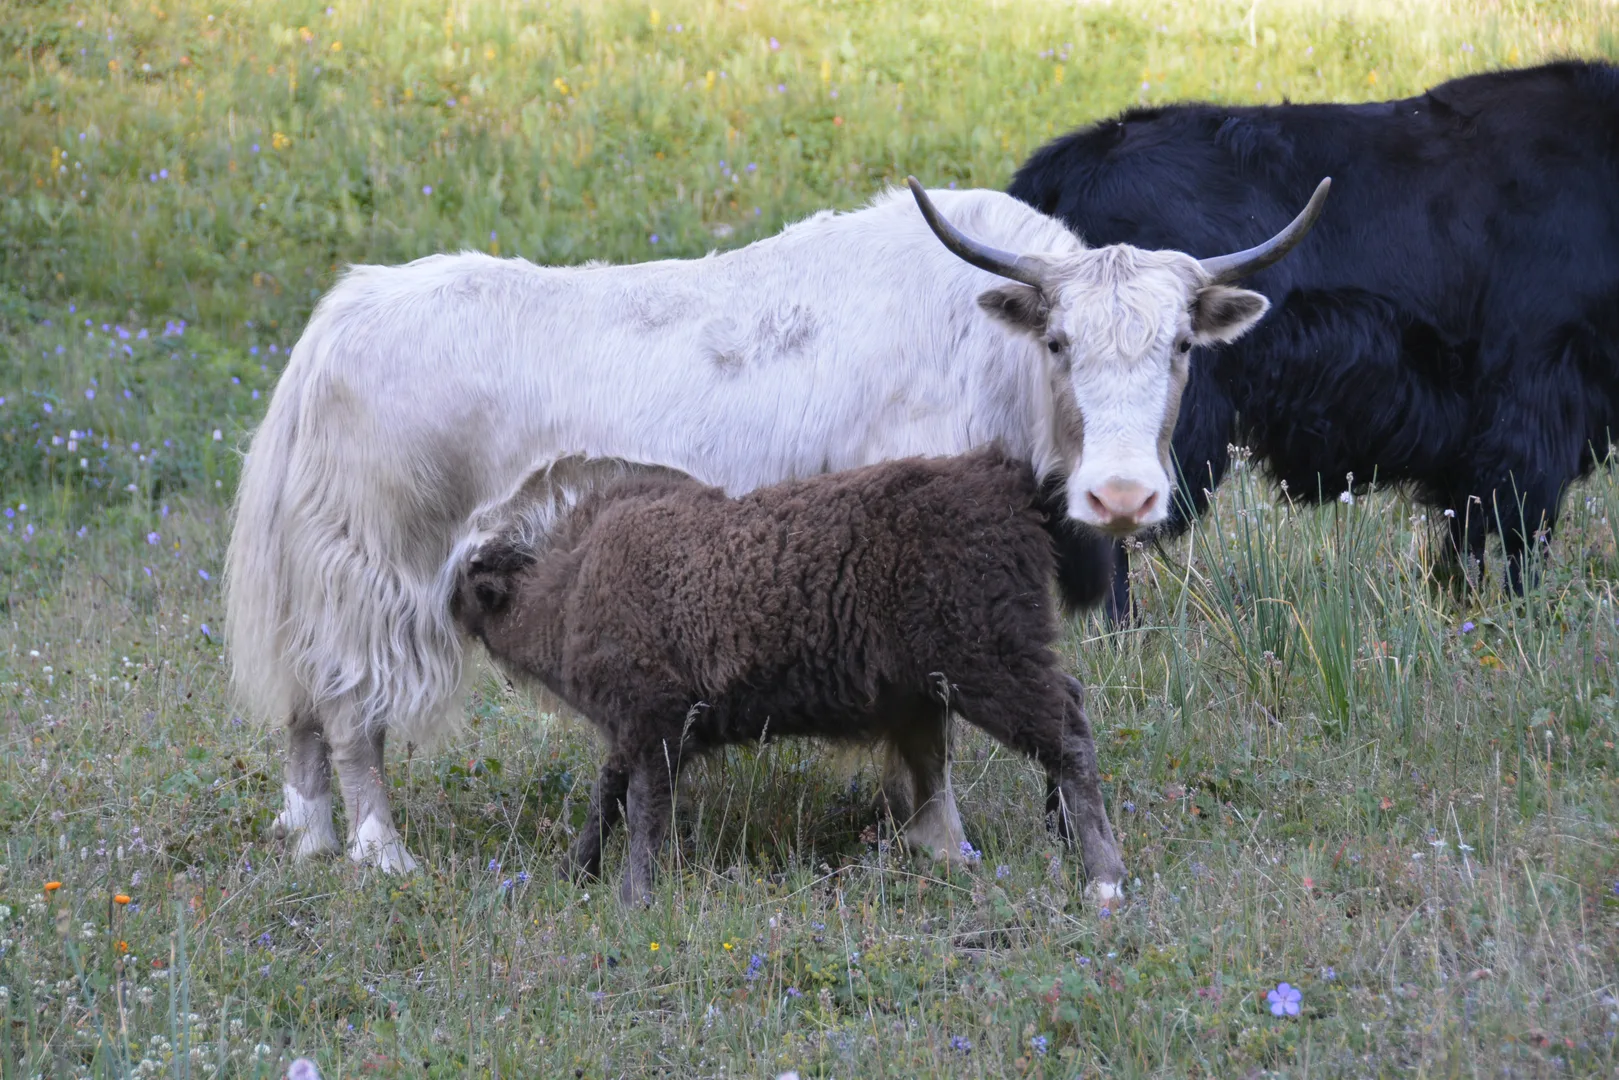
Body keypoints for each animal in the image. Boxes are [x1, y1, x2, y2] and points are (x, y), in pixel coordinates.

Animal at [224, 177, 1327, 871]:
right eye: (1058, 340)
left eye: (1179, 343)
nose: (1121, 499)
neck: (981, 350)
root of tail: (338, 321)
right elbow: (929, 733)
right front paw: (946, 846)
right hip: (379, 579)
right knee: (350, 712)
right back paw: (382, 855)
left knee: (304, 712)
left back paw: (310, 839)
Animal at [1011, 59, 1619, 619]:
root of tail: (1060, 168)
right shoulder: (1535, 396)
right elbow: (1523, 527)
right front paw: (1523, 617)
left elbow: (1466, 531)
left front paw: (1462, 607)